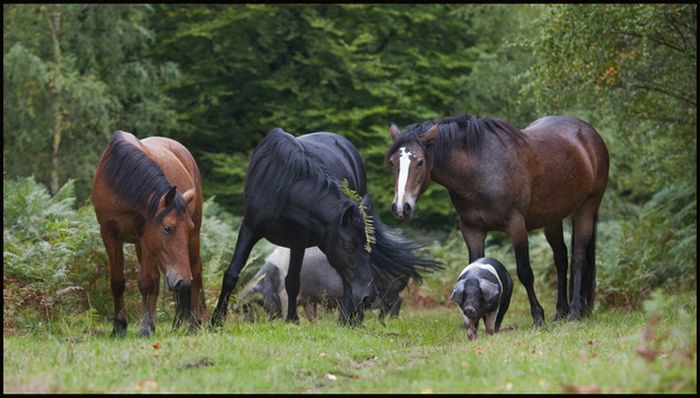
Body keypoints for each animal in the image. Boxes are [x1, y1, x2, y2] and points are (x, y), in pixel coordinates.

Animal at [92, 131, 205, 336]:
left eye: (188, 226)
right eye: (167, 228)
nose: (182, 281)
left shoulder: (145, 237)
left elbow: (146, 281)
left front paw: (144, 327)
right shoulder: (109, 235)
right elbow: (117, 281)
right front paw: (119, 326)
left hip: (192, 240)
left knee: (196, 272)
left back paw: (193, 324)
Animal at [209, 129, 438, 328]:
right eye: (348, 248)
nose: (367, 296)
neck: (283, 183)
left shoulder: (298, 240)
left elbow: (293, 281)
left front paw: (292, 320)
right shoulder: (250, 228)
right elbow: (232, 274)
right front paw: (215, 321)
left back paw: (350, 320)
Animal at [386, 113, 608, 324]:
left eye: (420, 162)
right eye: (392, 162)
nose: (401, 207)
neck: (481, 170)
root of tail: (589, 133)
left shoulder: (516, 227)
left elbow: (525, 272)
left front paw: (538, 316)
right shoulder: (471, 230)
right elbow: (473, 269)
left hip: (587, 208)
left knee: (578, 258)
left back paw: (575, 313)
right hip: (552, 217)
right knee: (561, 258)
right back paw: (560, 312)